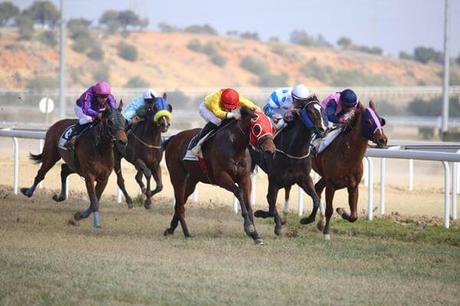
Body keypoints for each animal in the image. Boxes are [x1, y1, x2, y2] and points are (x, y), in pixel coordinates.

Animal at [163, 107, 276, 244]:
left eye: (272, 127)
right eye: (257, 128)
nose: (270, 150)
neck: (235, 146)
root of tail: (173, 138)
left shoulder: (245, 178)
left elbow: (248, 202)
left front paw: (256, 235)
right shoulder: (221, 177)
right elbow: (238, 192)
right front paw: (249, 227)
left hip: (192, 181)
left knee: (180, 202)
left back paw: (170, 229)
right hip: (177, 176)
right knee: (180, 205)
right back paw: (187, 233)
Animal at [252, 97, 328, 235]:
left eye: (322, 110)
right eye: (310, 111)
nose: (323, 131)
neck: (294, 151)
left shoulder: (304, 179)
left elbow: (316, 199)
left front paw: (306, 220)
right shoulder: (274, 180)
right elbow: (271, 202)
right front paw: (270, 220)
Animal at [306, 101, 388, 239]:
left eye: (380, 120)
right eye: (368, 121)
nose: (383, 139)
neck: (347, 155)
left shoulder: (353, 186)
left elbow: (354, 216)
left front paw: (341, 210)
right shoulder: (331, 185)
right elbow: (329, 210)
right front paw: (326, 233)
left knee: (317, 188)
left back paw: (320, 222)